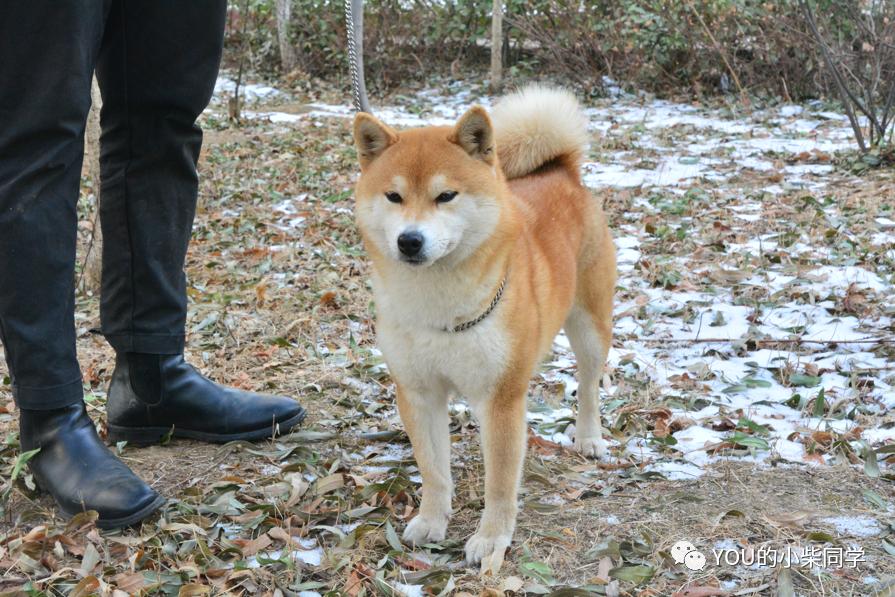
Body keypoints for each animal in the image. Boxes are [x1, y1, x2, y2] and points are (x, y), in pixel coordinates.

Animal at [350, 85, 616, 564]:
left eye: (446, 196)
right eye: (393, 197)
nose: (409, 240)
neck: (440, 308)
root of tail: (562, 171)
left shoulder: (501, 399)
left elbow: (500, 482)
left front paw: (491, 539)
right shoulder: (418, 392)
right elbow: (434, 471)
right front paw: (431, 521)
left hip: (590, 327)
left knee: (589, 384)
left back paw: (588, 437)